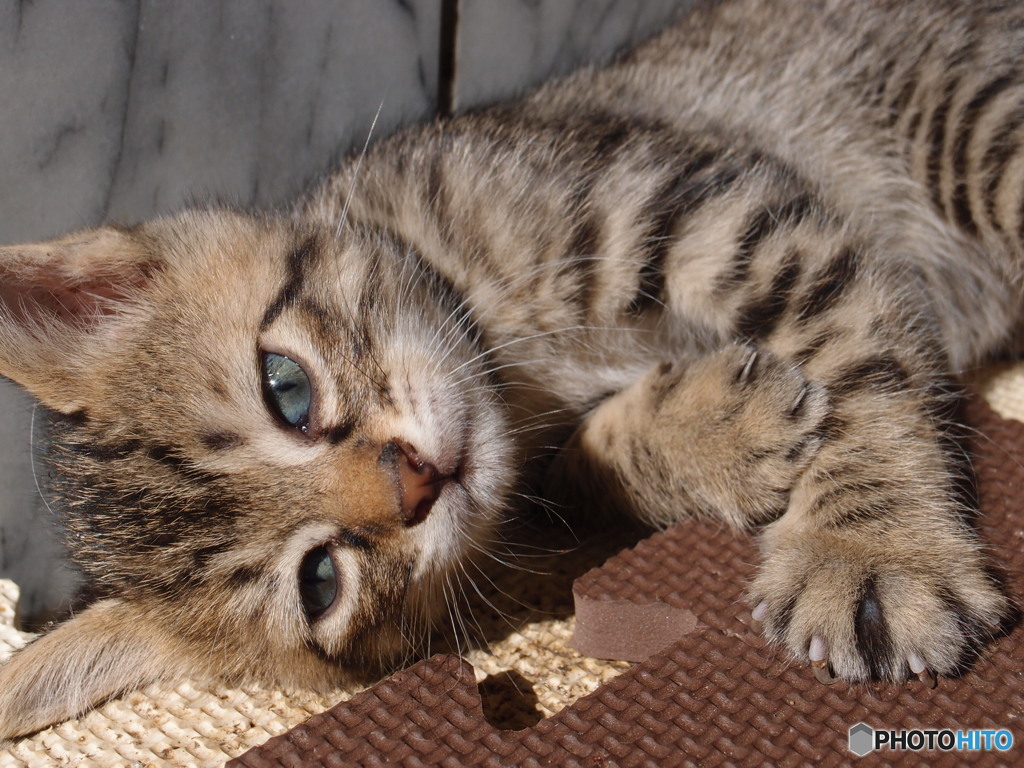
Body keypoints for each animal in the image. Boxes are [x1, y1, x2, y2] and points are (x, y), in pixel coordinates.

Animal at [2, 0, 1024, 741]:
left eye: (285, 389)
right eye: (320, 583)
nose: (416, 482)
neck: (510, 354)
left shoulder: (710, 208)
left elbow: (856, 350)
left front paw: (875, 552)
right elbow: (580, 468)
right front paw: (714, 433)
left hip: (974, 124)